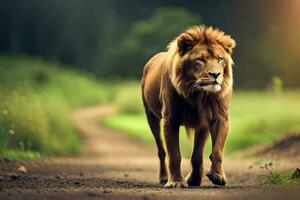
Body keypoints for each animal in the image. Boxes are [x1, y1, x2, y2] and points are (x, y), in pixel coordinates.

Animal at [141, 25, 237, 188]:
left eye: (220, 59)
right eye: (200, 59)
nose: (216, 74)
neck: (199, 94)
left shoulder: (218, 117)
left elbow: (214, 151)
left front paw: (215, 176)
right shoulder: (170, 118)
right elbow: (174, 154)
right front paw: (175, 182)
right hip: (151, 116)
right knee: (161, 151)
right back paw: (163, 177)